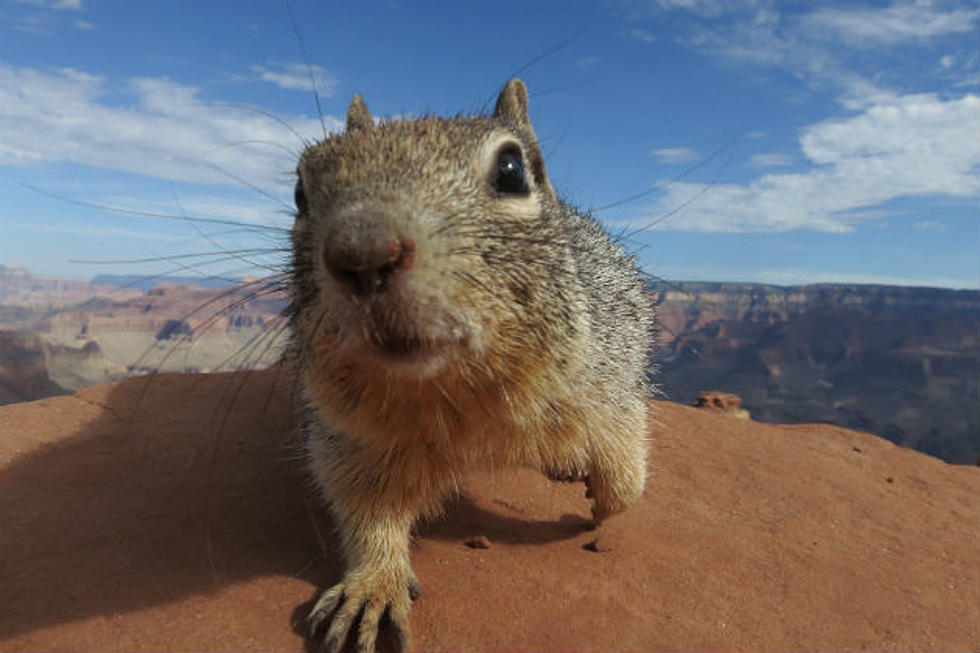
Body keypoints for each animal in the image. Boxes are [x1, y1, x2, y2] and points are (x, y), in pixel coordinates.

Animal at [290, 80, 660, 652]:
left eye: (511, 169)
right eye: (299, 192)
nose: (361, 251)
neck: (461, 389)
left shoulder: (610, 376)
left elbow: (626, 475)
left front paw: (600, 504)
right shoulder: (349, 438)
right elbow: (366, 510)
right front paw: (372, 586)